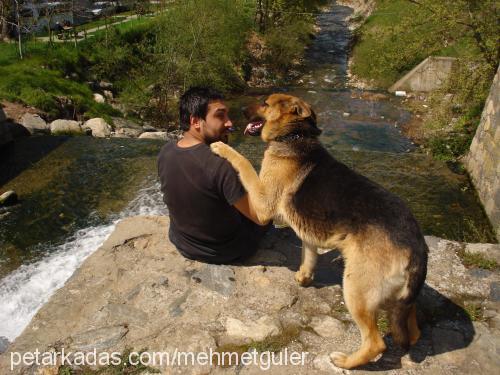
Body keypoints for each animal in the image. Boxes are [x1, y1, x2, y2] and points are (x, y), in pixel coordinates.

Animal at [209, 94, 428, 370]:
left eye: (265, 103)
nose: (239, 111)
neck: (294, 136)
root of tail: (416, 245)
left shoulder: (261, 204)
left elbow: (244, 162)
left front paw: (222, 148)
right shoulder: (309, 234)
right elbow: (309, 257)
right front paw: (304, 278)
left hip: (355, 289)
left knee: (376, 343)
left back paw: (345, 361)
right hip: (400, 301)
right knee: (413, 329)